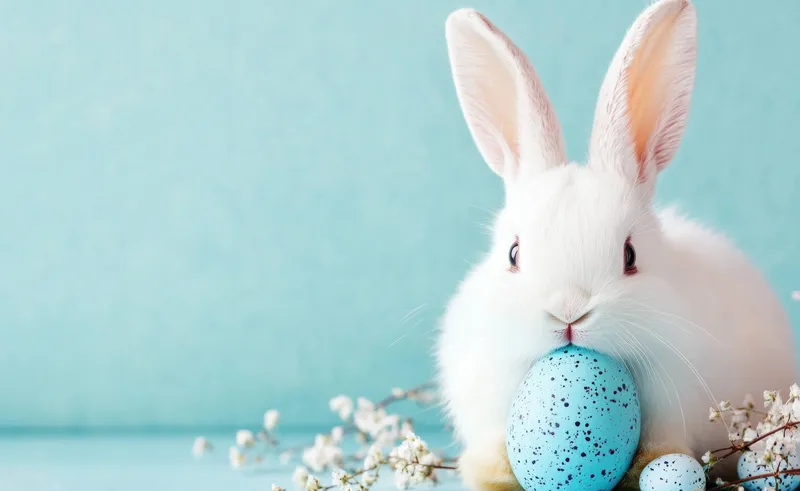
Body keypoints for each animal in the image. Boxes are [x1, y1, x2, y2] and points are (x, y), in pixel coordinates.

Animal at [435, 0, 797, 489]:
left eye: (630, 256)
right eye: (513, 254)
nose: (568, 312)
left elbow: (660, 449)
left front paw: (655, 468)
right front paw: (489, 472)